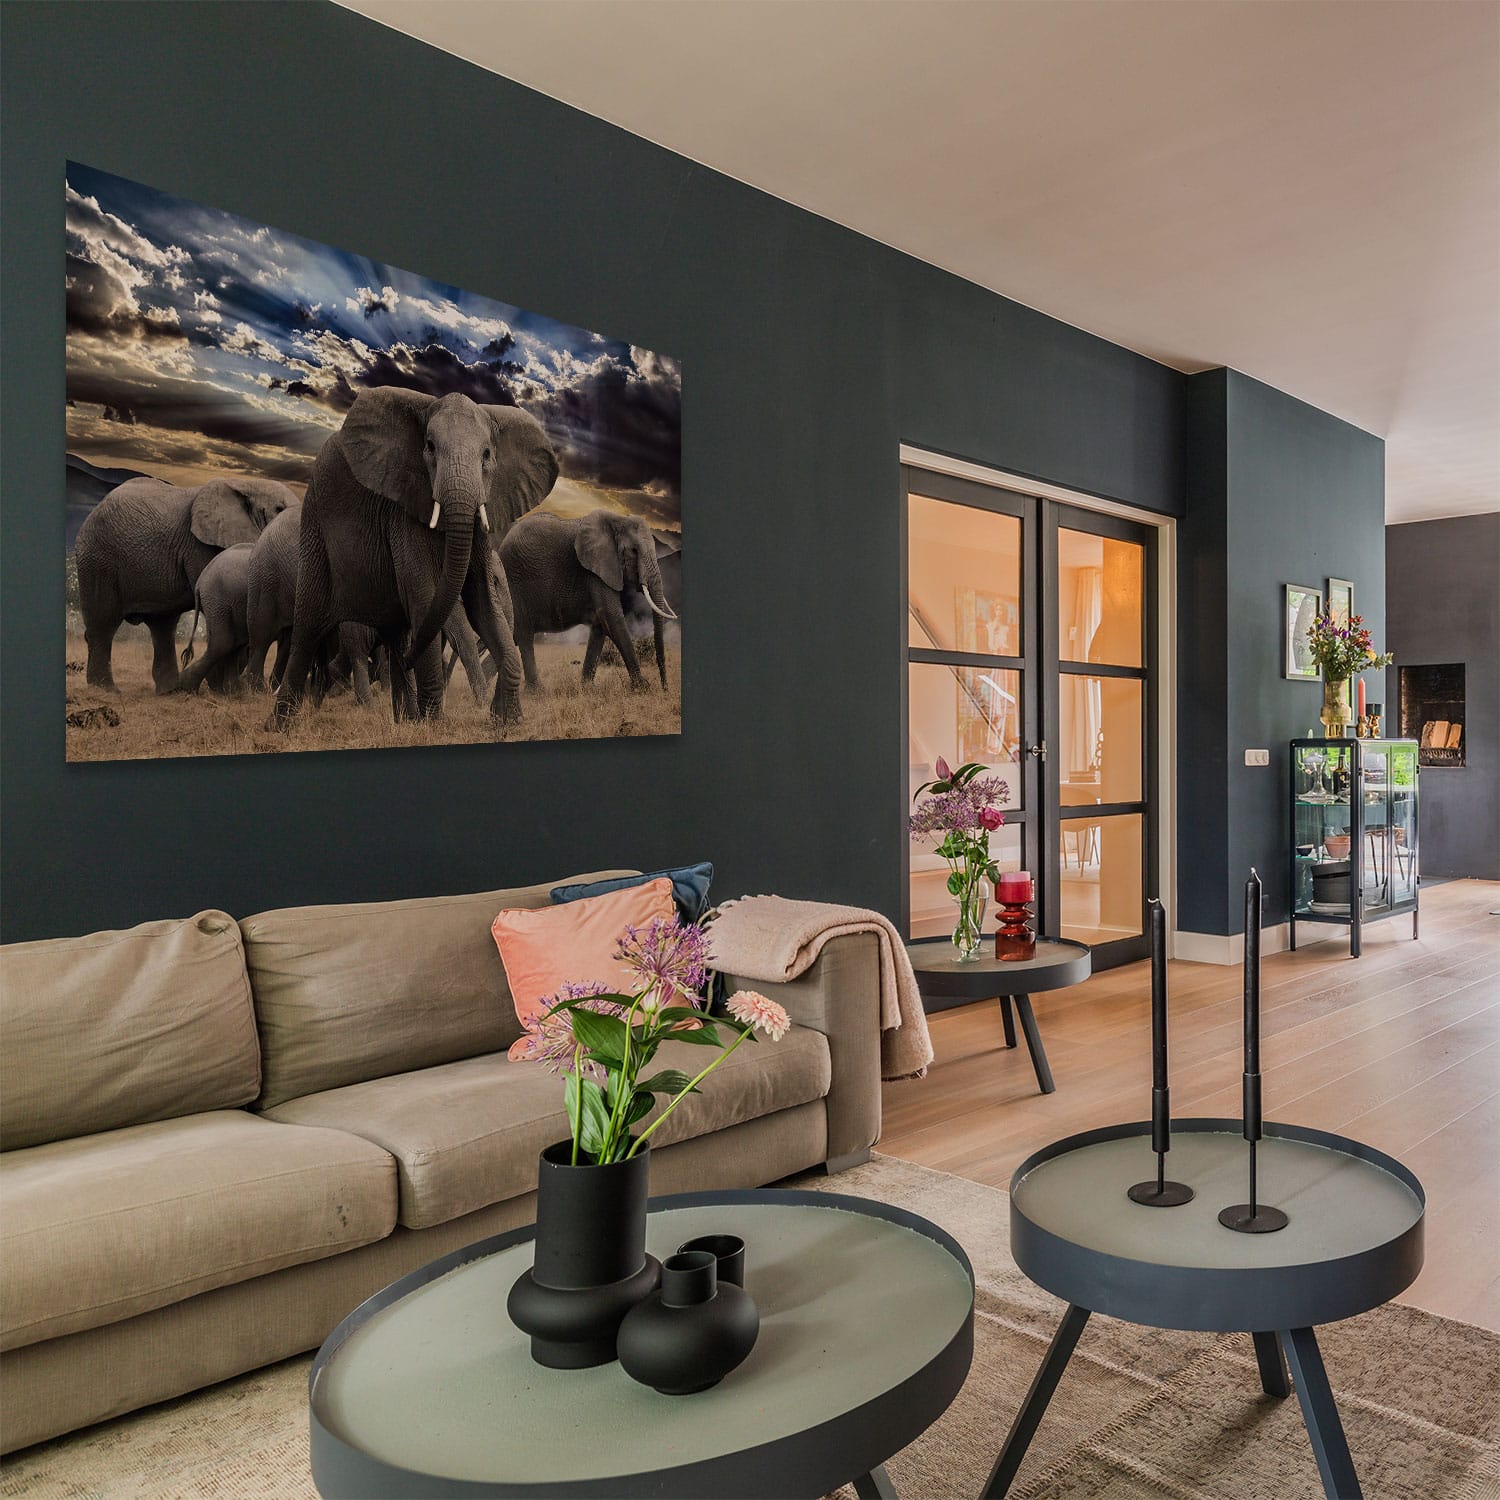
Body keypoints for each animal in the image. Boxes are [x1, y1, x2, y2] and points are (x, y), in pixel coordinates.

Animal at [75, 474, 295, 693]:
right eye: (279, 508)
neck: (247, 483)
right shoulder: (200, 546)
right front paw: (219, 686)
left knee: (163, 626)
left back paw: (169, 690)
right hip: (98, 561)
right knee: (104, 623)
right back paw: (107, 689)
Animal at [498, 509, 676, 691]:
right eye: (633, 551)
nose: (665, 688)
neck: (618, 519)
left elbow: (600, 624)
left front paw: (589, 688)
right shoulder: (596, 570)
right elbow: (612, 618)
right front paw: (642, 687)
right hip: (514, 582)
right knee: (525, 636)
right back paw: (536, 692)